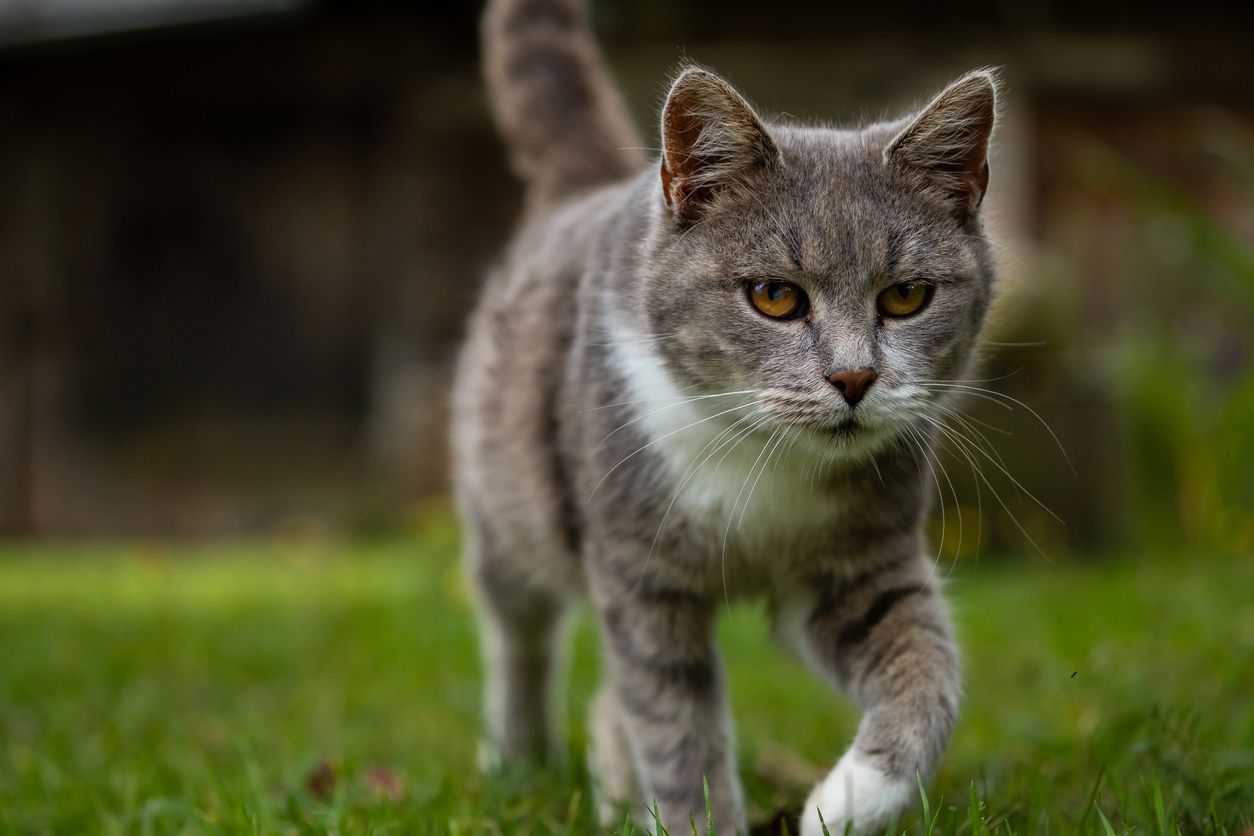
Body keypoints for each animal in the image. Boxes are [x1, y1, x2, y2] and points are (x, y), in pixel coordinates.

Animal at [453, 0, 998, 832]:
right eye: (775, 296)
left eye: (906, 296)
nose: (854, 377)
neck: (765, 459)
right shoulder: (638, 574)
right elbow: (674, 725)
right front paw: (693, 813)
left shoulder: (853, 568)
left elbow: (929, 665)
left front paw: (849, 799)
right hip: (506, 498)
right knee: (517, 627)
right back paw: (517, 761)